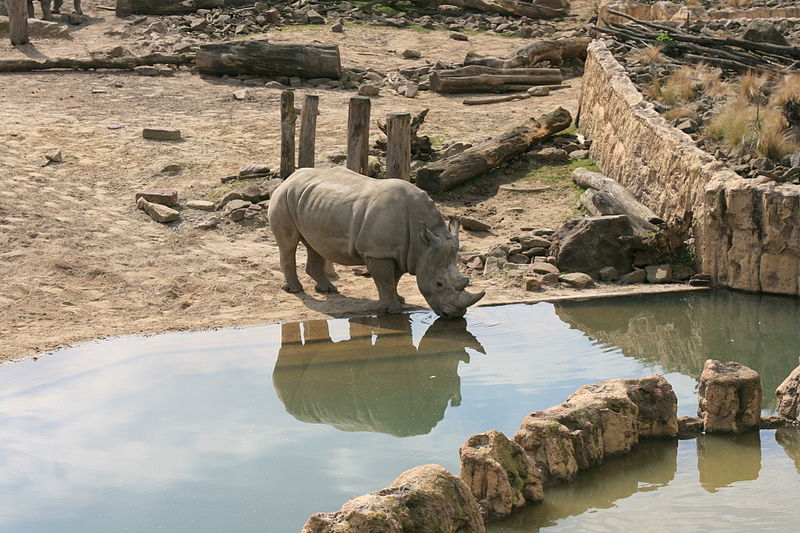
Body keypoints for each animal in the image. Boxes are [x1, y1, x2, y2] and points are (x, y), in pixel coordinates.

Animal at [268, 167, 484, 316]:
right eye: (439, 284)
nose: (455, 315)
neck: (422, 242)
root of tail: (290, 177)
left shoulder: (401, 253)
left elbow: (394, 278)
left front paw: (399, 300)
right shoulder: (378, 252)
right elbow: (385, 279)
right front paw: (392, 310)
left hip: (309, 202)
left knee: (315, 245)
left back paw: (328, 290)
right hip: (283, 197)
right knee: (289, 244)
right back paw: (295, 290)